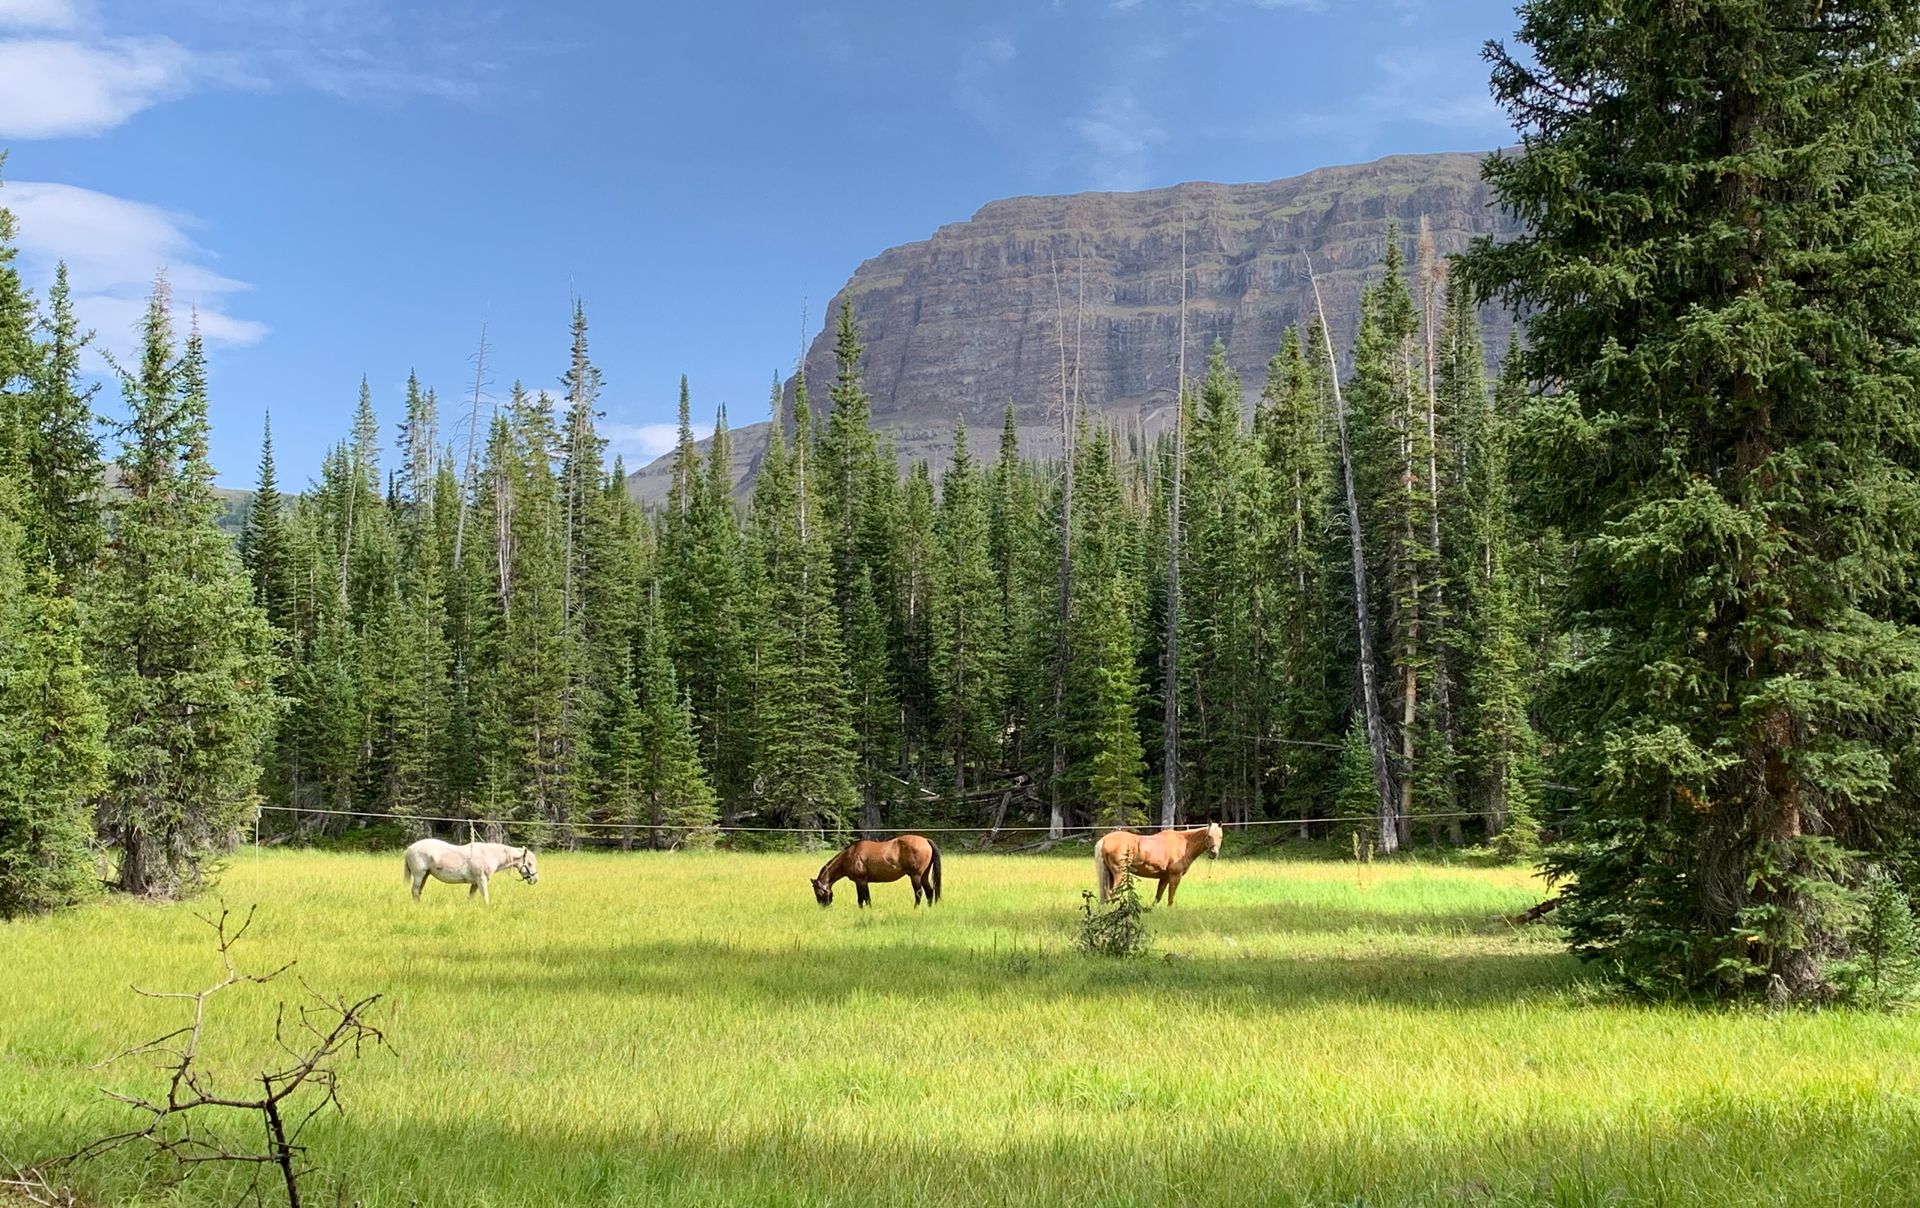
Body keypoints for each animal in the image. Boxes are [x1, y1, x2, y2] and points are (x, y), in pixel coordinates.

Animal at [403, 839, 538, 905]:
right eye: (530, 864)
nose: (535, 880)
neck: (489, 854)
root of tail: (409, 848)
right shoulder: (481, 880)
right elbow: (485, 896)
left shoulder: (475, 883)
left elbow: (471, 896)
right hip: (419, 875)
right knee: (415, 891)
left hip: (425, 875)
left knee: (418, 892)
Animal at [810, 835, 941, 908]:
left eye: (819, 893)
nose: (823, 907)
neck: (850, 855)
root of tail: (925, 840)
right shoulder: (859, 882)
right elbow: (861, 898)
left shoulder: (862, 880)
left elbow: (865, 898)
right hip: (924, 875)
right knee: (929, 892)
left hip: (915, 876)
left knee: (919, 893)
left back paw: (915, 908)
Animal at [1094, 821, 1223, 906]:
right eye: (1209, 836)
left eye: (1220, 837)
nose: (1214, 853)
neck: (1184, 843)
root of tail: (1104, 840)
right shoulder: (1175, 877)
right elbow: (1171, 897)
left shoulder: (1164, 878)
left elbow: (1158, 897)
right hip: (1120, 874)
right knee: (1114, 893)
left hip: (1110, 875)